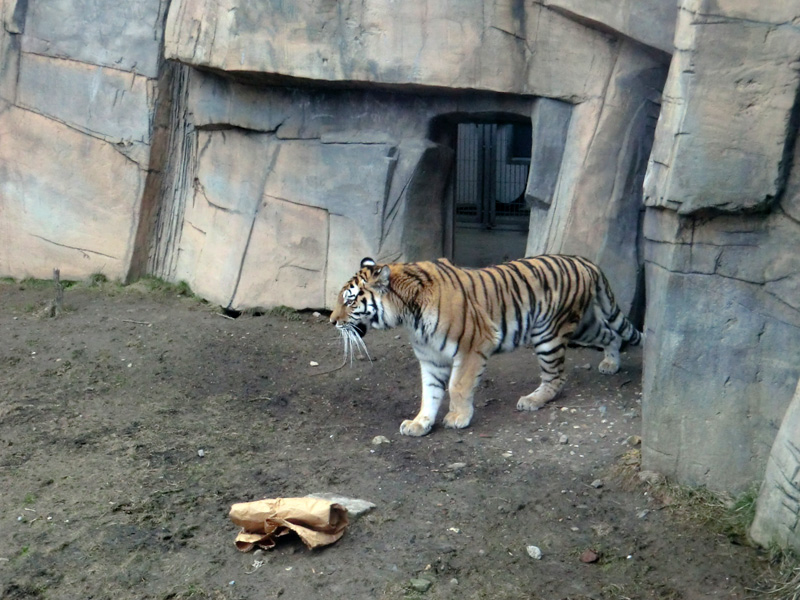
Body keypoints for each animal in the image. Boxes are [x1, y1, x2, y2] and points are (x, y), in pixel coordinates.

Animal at [328, 253, 640, 436]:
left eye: (350, 300)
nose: (332, 321)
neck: (408, 315)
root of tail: (584, 260)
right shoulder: (431, 358)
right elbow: (429, 393)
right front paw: (420, 423)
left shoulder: (472, 347)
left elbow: (457, 386)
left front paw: (458, 417)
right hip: (584, 325)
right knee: (611, 334)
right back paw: (611, 363)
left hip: (549, 333)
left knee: (557, 376)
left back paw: (532, 400)